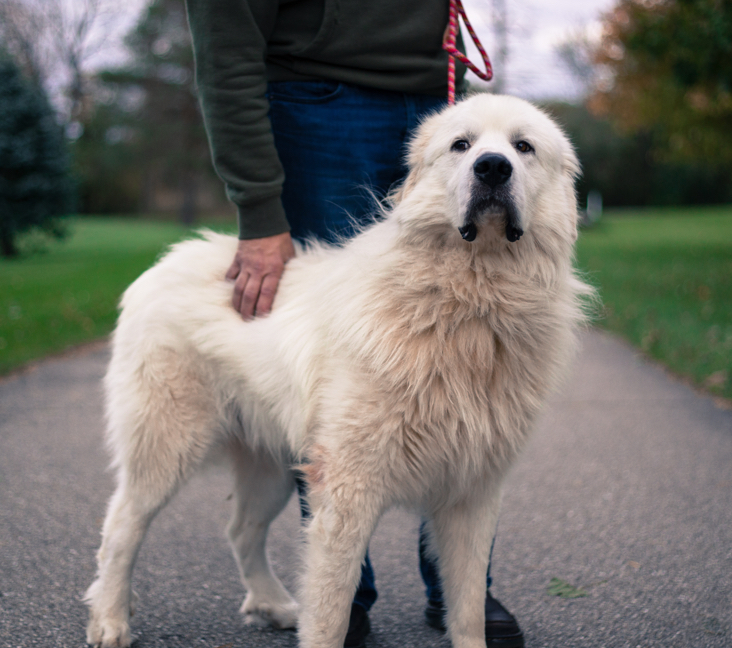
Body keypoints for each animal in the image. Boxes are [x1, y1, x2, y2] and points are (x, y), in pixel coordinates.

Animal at [84, 95, 588, 648]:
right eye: (463, 145)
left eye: (523, 147)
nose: (493, 167)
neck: (469, 304)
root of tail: (168, 258)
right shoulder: (349, 489)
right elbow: (331, 611)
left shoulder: (471, 493)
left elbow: (468, 609)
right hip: (167, 446)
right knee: (120, 528)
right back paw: (110, 620)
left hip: (273, 465)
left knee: (240, 530)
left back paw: (272, 605)